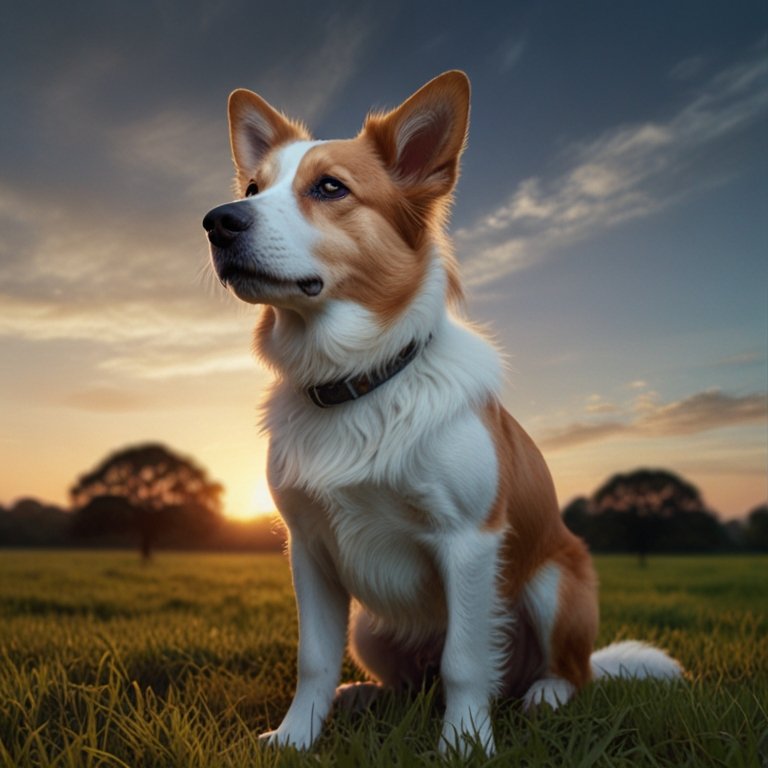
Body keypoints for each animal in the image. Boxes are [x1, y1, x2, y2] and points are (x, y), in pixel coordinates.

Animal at [201, 69, 680, 752]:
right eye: (251, 189)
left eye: (329, 187)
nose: (217, 221)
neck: (359, 381)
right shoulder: (309, 549)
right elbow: (313, 658)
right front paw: (296, 737)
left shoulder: (469, 542)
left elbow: (464, 661)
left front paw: (465, 744)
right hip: (371, 627)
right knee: (411, 682)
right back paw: (364, 696)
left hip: (554, 584)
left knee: (565, 671)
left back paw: (544, 694)